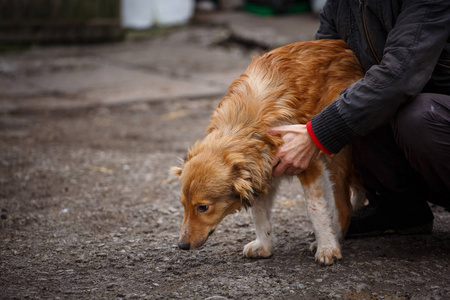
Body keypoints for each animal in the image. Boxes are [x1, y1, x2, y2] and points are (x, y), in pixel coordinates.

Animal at [172, 39, 366, 264]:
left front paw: (327, 247)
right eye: (183, 205)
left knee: (344, 206)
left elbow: (316, 209)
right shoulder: (262, 170)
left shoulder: (307, 163)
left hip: (335, 154)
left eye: (203, 207)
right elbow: (259, 213)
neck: (244, 124)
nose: (182, 246)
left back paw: (333, 236)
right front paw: (264, 245)